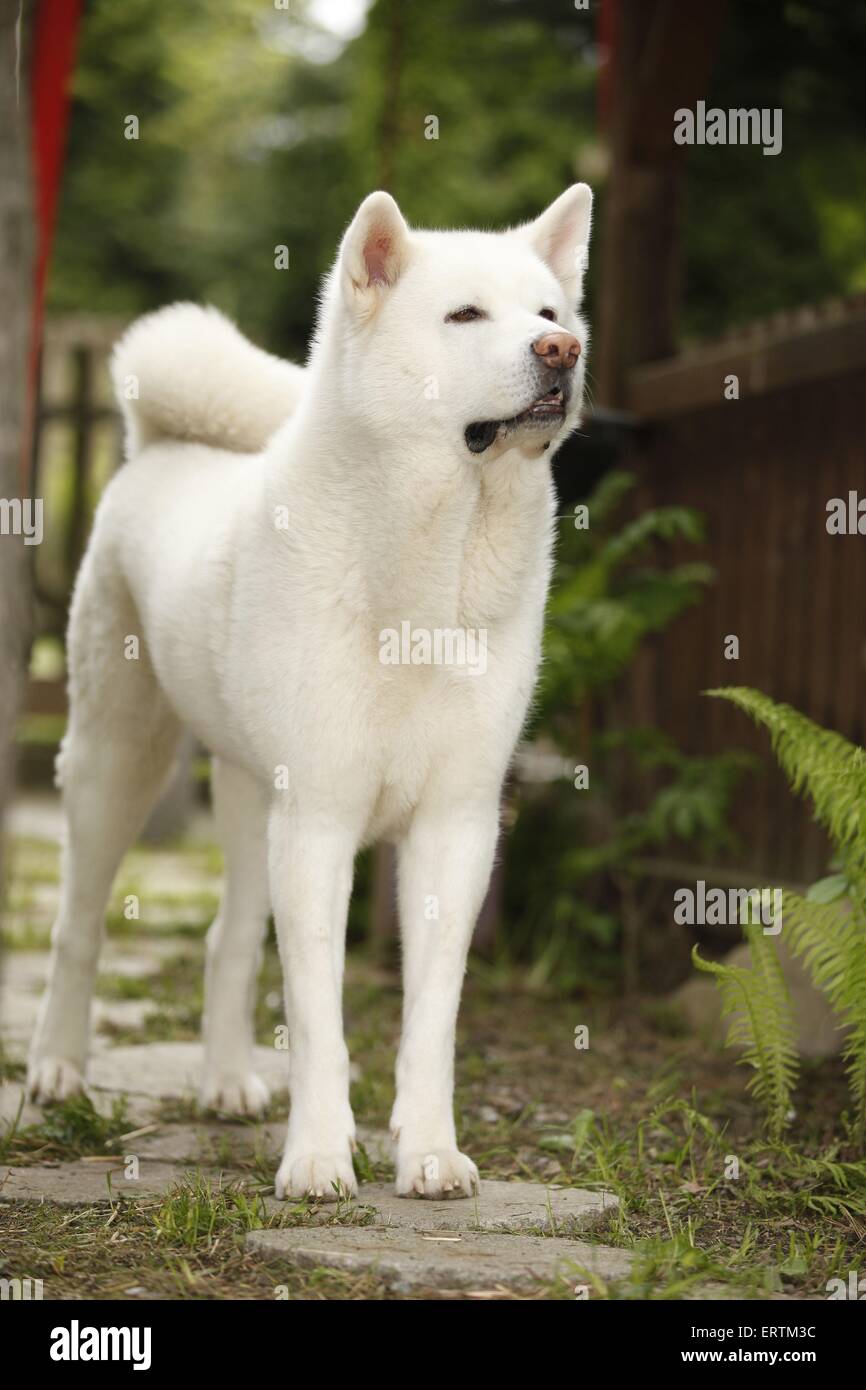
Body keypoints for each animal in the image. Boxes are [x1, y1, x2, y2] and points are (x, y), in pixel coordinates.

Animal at [28, 184, 594, 1200]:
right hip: (116, 765)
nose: (560, 351)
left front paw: (430, 1152)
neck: (431, 566)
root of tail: (160, 445)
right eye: (465, 316)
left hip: (253, 798)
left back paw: (223, 1084)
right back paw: (55, 1069)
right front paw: (322, 1160)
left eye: (549, 312)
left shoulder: (455, 826)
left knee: (228, 939)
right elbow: (320, 1018)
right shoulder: (322, 822)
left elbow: (431, 1016)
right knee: (77, 925)